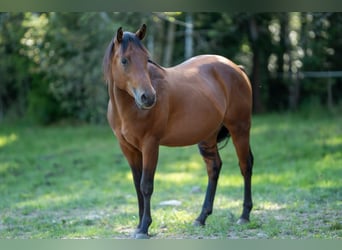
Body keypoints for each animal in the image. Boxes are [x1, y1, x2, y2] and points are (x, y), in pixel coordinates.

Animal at [103, 24, 254, 239]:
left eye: (146, 58)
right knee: (214, 168)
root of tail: (236, 68)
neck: (129, 108)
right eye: (124, 60)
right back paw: (201, 218)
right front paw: (139, 226)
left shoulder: (150, 145)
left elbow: (146, 186)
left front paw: (144, 227)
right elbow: (137, 185)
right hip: (207, 137)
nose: (148, 97)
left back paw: (244, 215)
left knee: (245, 166)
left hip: (240, 129)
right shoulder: (128, 149)